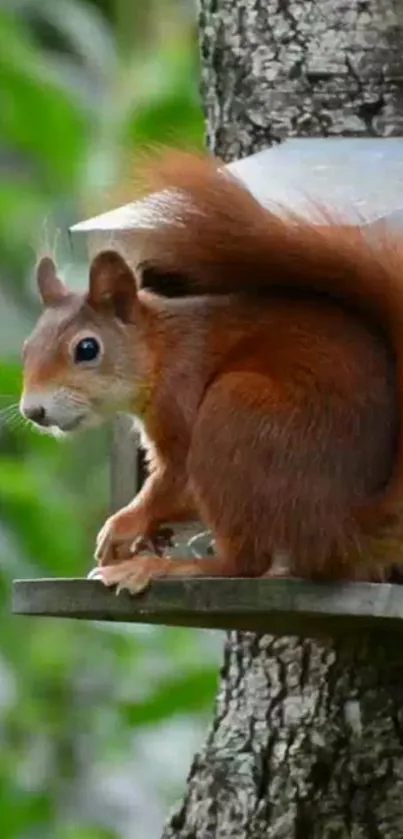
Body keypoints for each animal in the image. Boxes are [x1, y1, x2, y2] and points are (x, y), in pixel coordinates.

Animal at [19, 153, 403, 596]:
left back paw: (165, 568)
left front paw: (122, 526)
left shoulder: (181, 395)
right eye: (26, 348)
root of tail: (344, 529)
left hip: (233, 415)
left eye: (86, 349)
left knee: (245, 563)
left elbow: (177, 480)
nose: (33, 411)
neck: (162, 350)